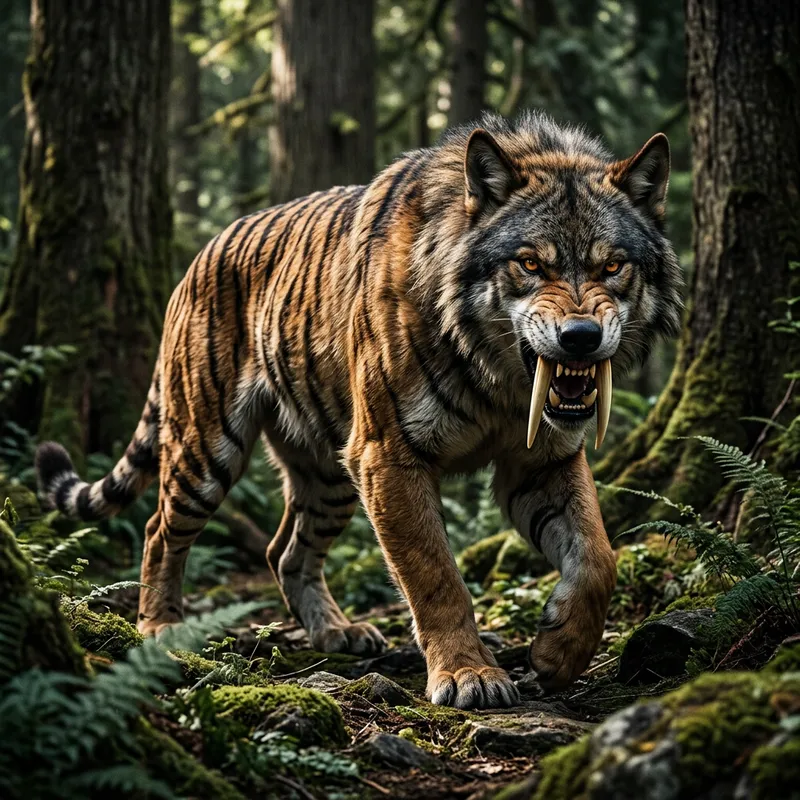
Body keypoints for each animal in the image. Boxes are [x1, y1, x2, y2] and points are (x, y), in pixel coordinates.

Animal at [36, 111, 682, 709]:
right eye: (530, 264)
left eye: (612, 266)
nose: (581, 337)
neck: (499, 378)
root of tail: (201, 254)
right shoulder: (389, 455)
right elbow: (435, 574)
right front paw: (469, 675)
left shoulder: (541, 461)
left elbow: (596, 556)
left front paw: (558, 654)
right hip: (207, 444)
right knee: (159, 529)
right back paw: (160, 628)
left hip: (329, 473)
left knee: (285, 550)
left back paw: (337, 632)